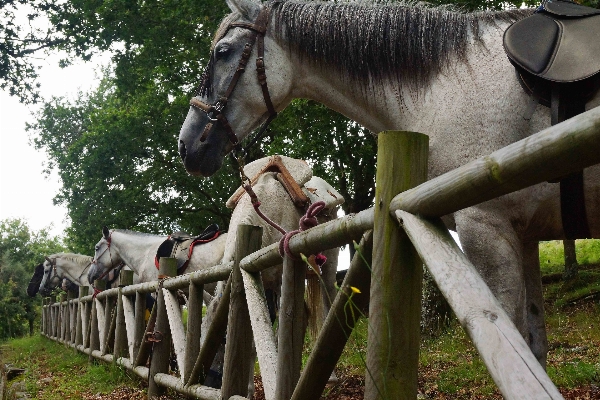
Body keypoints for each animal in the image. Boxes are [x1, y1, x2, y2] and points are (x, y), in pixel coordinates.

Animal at [178, 0, 600, 368]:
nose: (187, 145)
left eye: (223, 52)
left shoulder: (486, 226)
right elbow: (535, 346)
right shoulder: (523, 235)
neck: (446, 86)